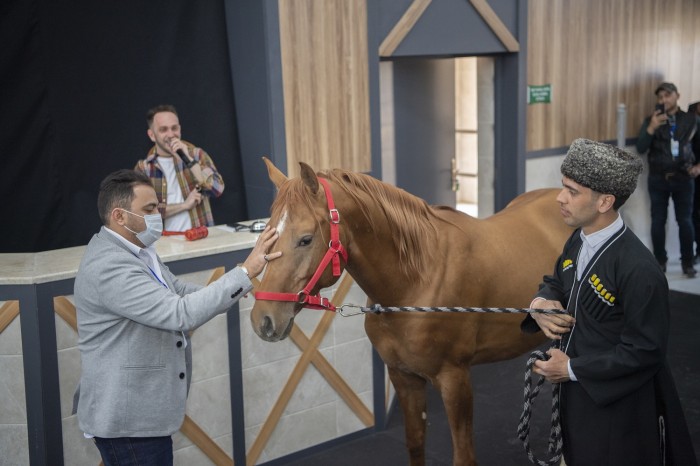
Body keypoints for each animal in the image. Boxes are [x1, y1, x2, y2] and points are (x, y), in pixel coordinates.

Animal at [252, 158, 576, 464]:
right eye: (267, 234)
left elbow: (464, 456)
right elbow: (415, 443)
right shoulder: (404, 377)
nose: (262, 320)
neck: (418, 280)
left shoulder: (455, 380)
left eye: (306, 239)